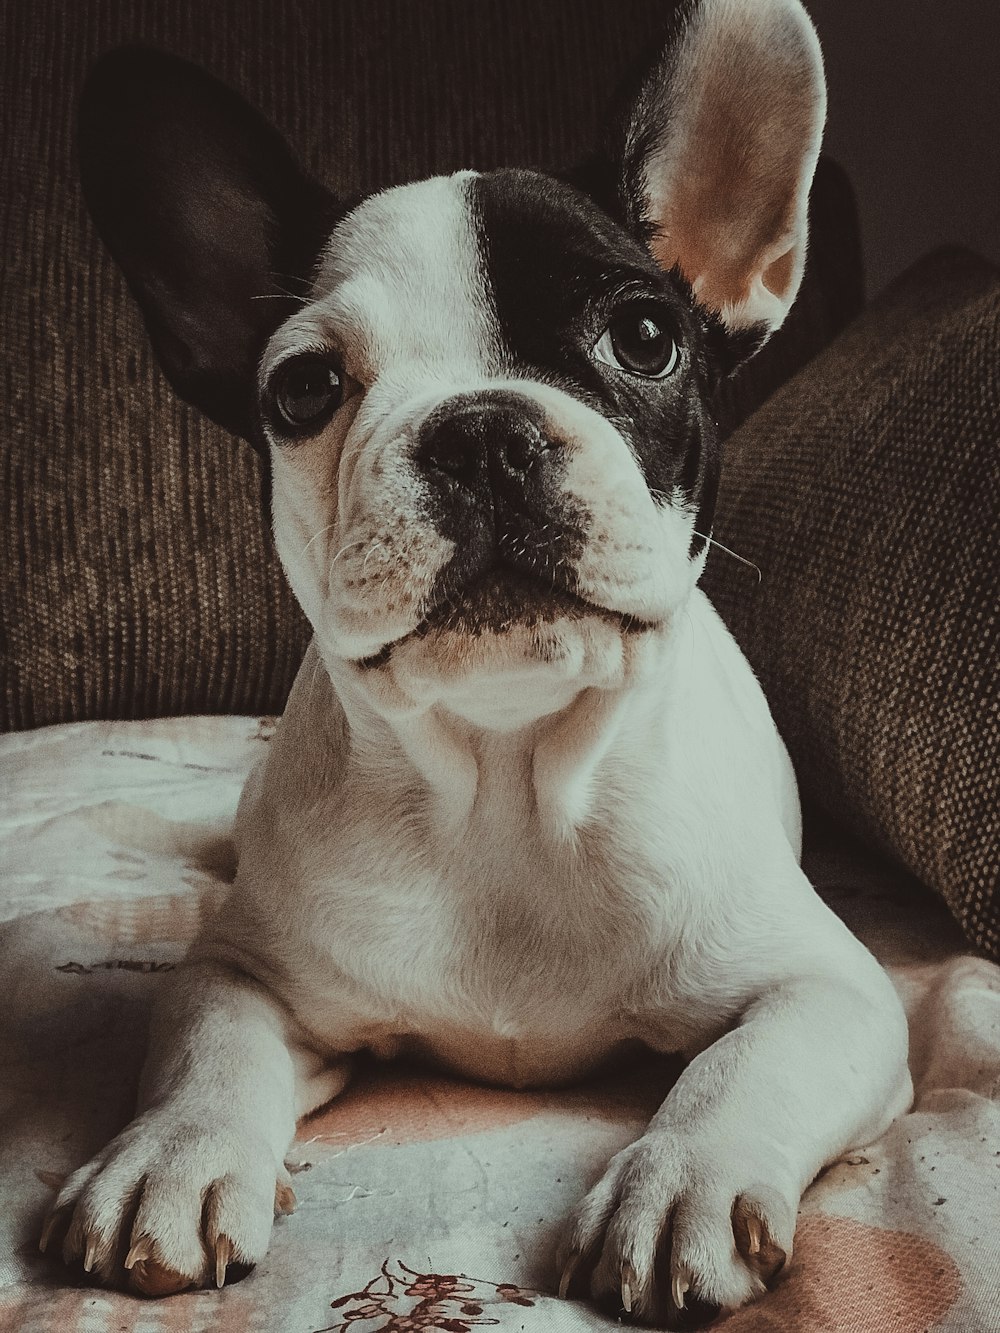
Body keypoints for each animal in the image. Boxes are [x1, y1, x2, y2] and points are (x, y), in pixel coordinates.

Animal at [41, 0, 917, 1322]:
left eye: (646, 337)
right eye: (303, 388)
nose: (482, 430)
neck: (508, 774)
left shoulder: (829, 989)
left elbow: (744, 1063)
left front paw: (683, 1180)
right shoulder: (243, 971)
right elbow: (208, 1046)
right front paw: (172, 1157)